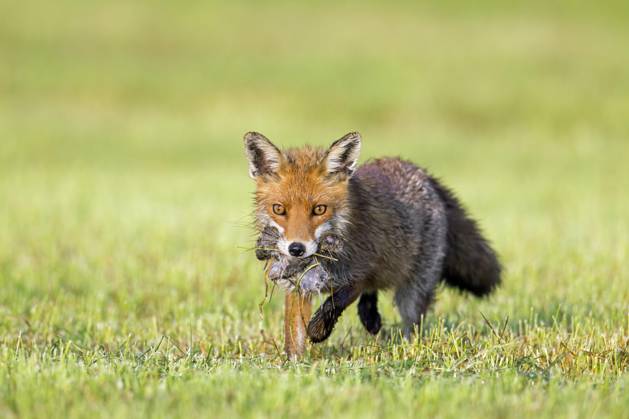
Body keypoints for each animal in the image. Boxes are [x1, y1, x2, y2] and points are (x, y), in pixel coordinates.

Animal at [245, 131, 500, 344]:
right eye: (279, 209)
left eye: (319, 209)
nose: (296, 249)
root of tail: (419, 171)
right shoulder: (300, 286)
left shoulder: (361, 271)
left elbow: (336, 301)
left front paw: (317, 331)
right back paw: (371, 318)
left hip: (414, 288)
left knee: (412, 320)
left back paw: (408, 345)